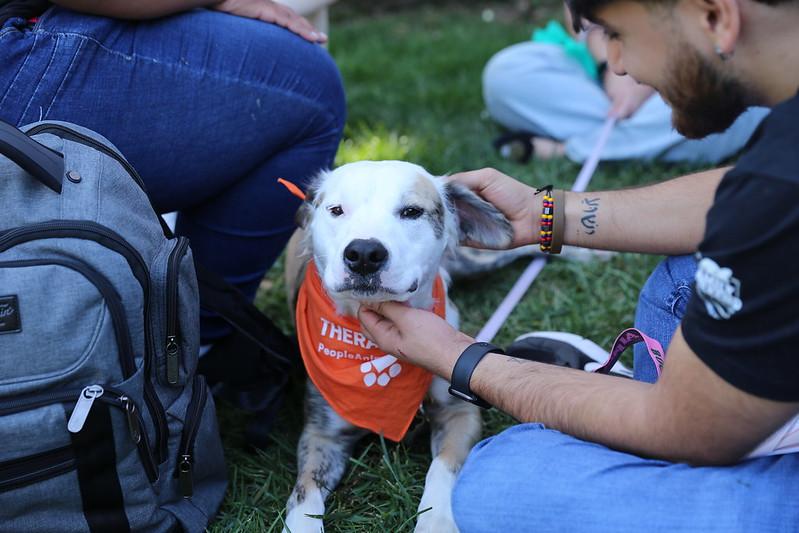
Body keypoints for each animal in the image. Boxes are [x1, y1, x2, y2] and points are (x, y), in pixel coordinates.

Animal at [282, 160, 520, 528]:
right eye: (336, 210)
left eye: (411, 212)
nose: (364, 253)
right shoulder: (321, 435)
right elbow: (303, 494)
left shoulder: (459, 413)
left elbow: (442, 468)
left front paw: (436, 523)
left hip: (477, 257)